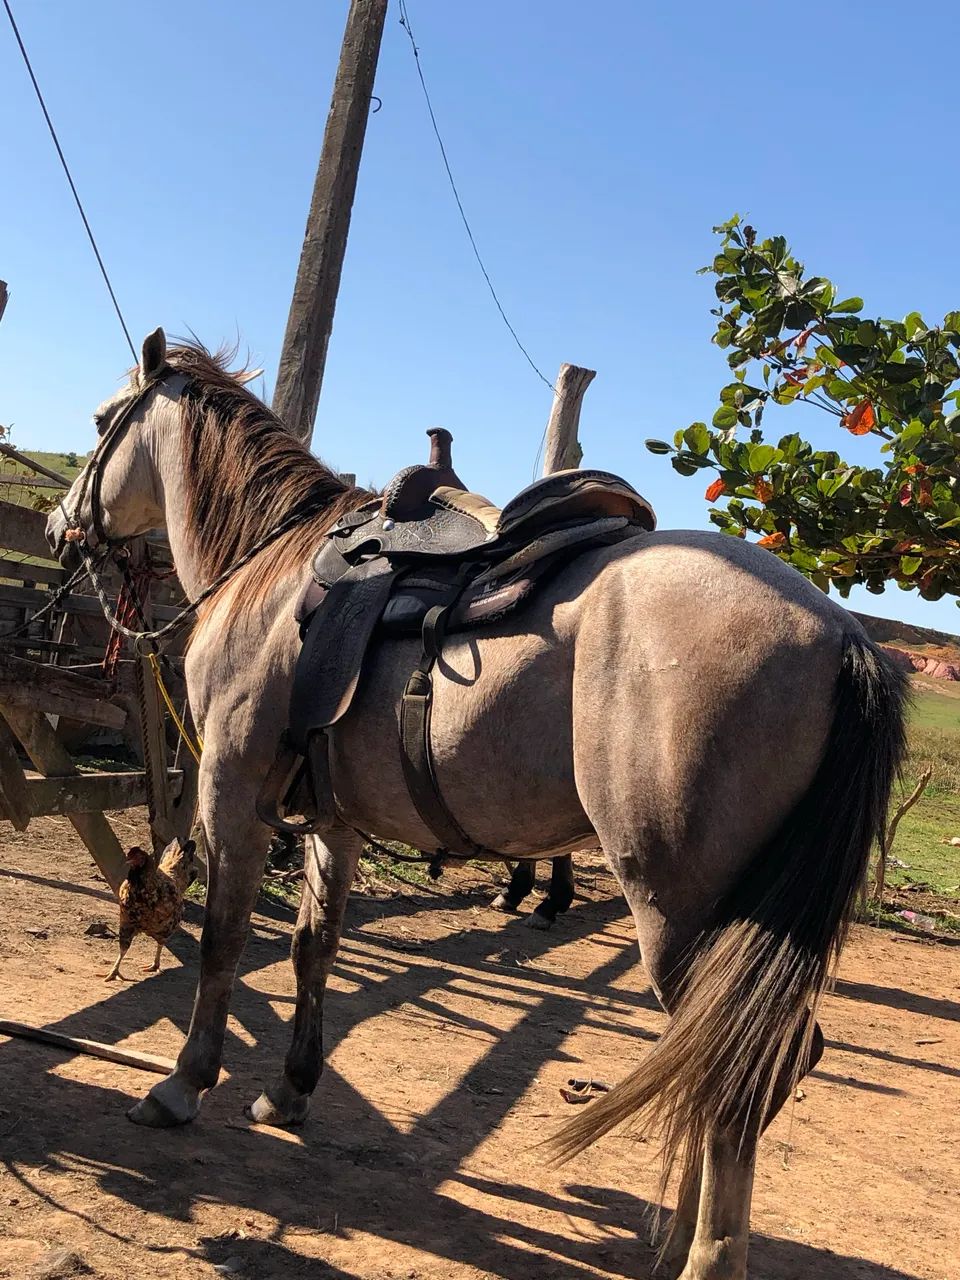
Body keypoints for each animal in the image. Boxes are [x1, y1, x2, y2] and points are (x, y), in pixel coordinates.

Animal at [47, 330, 906, 1280]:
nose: (58, 523)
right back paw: (679, 1235)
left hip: (682, 912)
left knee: (740, 1065)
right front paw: (288, 1092)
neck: (267, 569)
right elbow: (314, 949)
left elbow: (223, 943)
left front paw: (183, 1084)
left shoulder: (232, 796)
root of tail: (841, 634)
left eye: (101, 419)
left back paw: (705, 1254)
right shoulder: (334, 823)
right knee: (727, 1058)